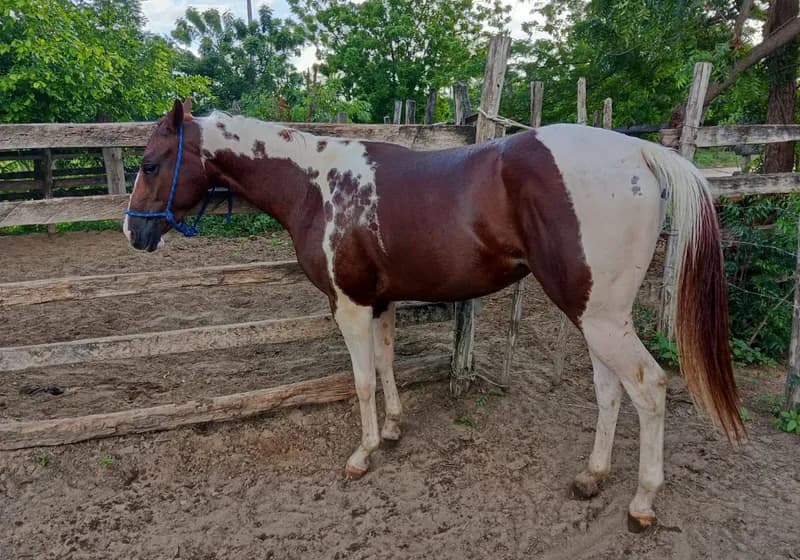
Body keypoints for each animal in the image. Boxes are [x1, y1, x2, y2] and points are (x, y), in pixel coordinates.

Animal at [124, 99, 743, 532]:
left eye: (151, 164)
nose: (133, 232)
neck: (316, 186)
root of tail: (640, 153)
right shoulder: (379, 303)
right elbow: (387, 364)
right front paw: (394, 428)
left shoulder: (349, 305)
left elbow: (362, 379)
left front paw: (363, 453)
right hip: (594, 315)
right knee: (610, 389)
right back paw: (591, 477)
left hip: (601, 317)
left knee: (649, 387)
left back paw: (642, 502)